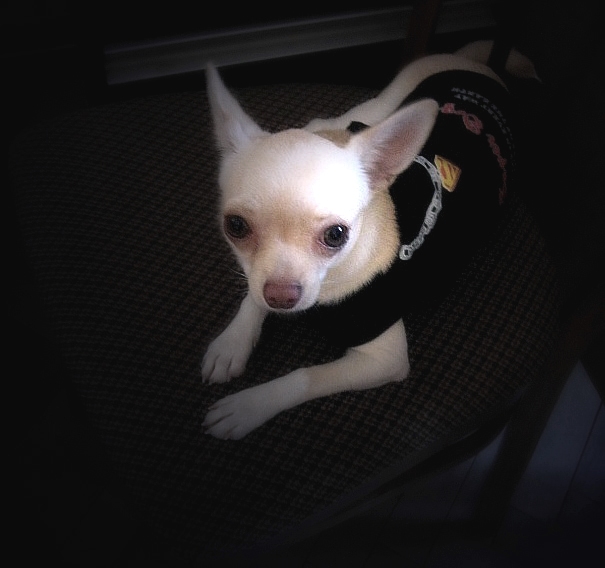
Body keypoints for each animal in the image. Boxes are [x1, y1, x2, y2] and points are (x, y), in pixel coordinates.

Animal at [201, 41, 536, 439]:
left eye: (336, 235)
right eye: (235, 227)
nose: (281, 297)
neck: (330, 286)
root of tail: (475, 62)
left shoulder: (383, 360)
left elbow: (305, 377)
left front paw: (249, 405)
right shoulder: (261, 280)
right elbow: (253, 293)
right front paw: (232, 342)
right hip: (376, 107)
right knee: (331, 123)